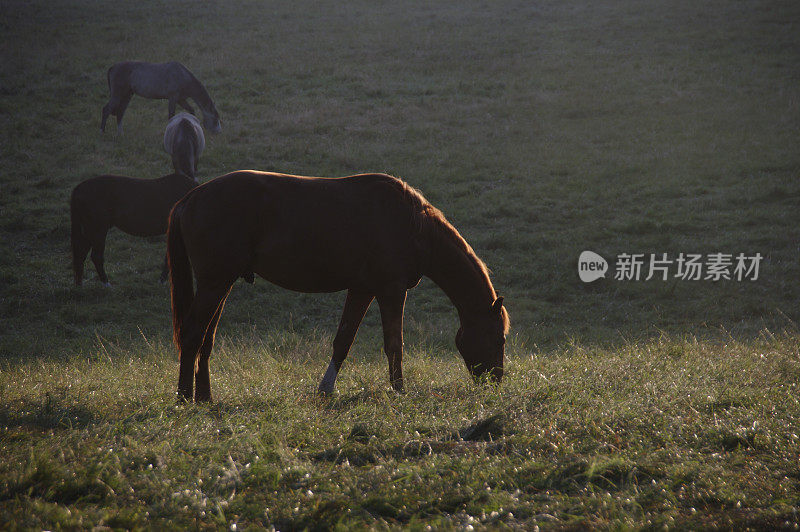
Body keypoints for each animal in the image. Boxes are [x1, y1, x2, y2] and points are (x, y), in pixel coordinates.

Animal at [167, 171, 512, 404]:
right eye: (500, 338)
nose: (495, 383)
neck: (413, 225)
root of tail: (189, 199)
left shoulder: (362, 290)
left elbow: (343, 341)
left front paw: (326, 388)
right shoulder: (391, 290)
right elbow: (394, 344)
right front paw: (399, 390)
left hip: (220, 284)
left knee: (205, 339)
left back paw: (205, 396)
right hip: (214, 284)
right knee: (192, 333)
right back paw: (184, 397)